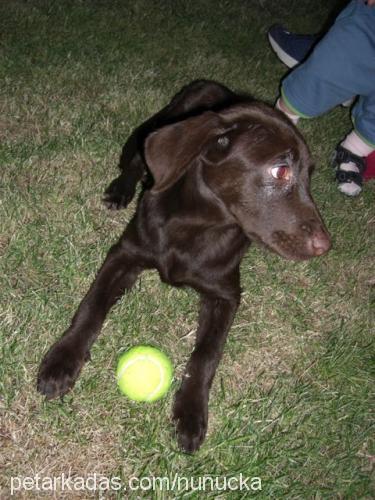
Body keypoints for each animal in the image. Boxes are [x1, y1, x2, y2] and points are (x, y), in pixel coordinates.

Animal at [37, 79, 332, 454]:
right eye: (281, 170)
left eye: (310, 176)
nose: (325, 246)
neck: (197, 225)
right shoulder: (124, 254)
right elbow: (91, 306)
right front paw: (63, 359)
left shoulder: (226, 294)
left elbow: (207, 353)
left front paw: (191, 412)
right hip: (149, 133)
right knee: (136, 162)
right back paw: (120, 190)